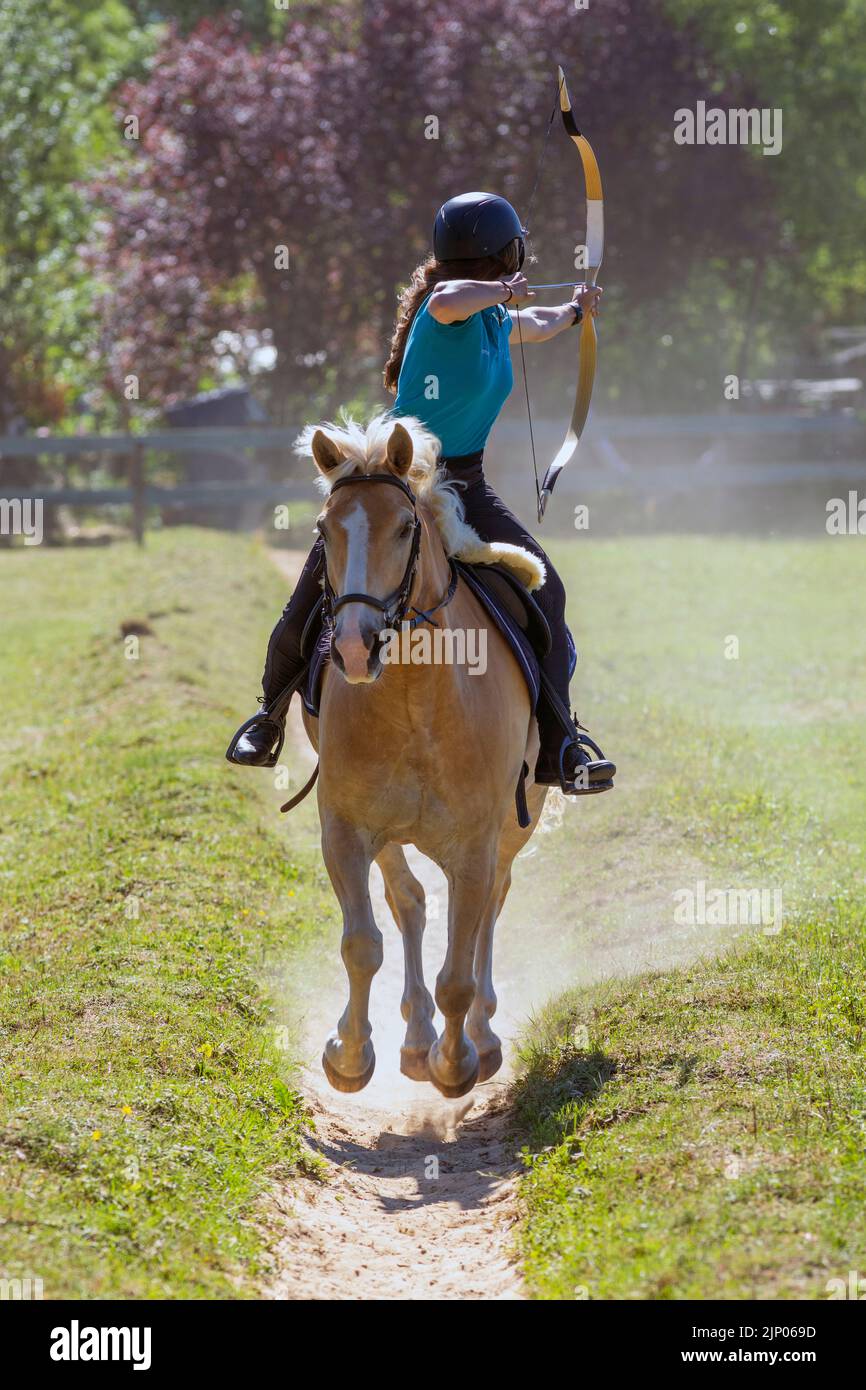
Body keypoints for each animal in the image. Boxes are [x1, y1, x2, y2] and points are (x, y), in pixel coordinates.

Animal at [300, 411, 547, 1095]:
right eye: (325, 532)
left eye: (406, 528)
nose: (353, 648)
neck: (414, 701)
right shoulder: (345, 829)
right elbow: (363, 943)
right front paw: (350, 1054)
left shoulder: (475, 845)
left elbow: (459, 971)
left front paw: (457, 1063)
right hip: (391, 835)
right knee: (408, 903)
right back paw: (413, 1037)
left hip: (515, 826)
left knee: (492, 906)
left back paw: (479, 1036)